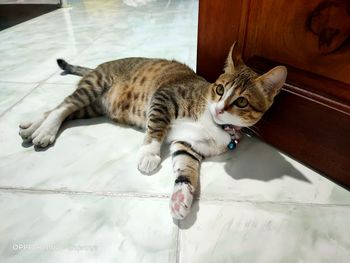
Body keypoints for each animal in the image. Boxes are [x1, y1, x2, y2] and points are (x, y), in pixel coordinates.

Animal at [17, 43, 288, 221]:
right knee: (63, 105)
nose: (220, 108)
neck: (213, 123)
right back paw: (44, 131)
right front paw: (149, 154)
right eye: (220, 89)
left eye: (241, 102)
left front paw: (181, 197)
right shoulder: (164, 97)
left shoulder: (189, 144)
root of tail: (98, 66)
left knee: (62, 109)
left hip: (92, 107)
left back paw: (32, 127)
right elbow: (156, 128)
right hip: (95, 86)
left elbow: (186, 167)